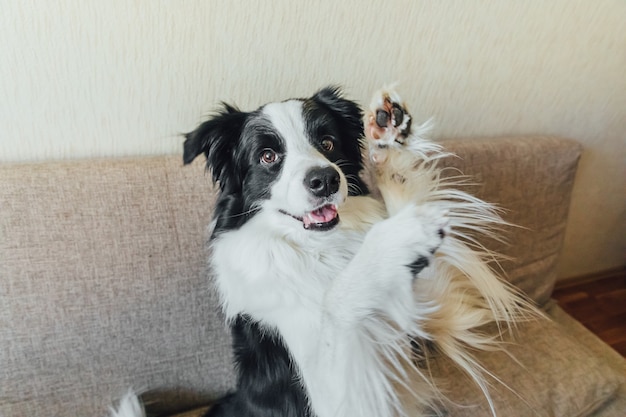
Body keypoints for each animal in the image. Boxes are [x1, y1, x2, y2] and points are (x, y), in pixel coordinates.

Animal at [112, 86, 536, 416]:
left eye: (328, 143)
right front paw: (401, 235)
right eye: (268, 156)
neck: (314, 250)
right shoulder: (336, 395)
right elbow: (335, 304)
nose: (326, 179)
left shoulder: (435, 311)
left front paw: (387, 136)